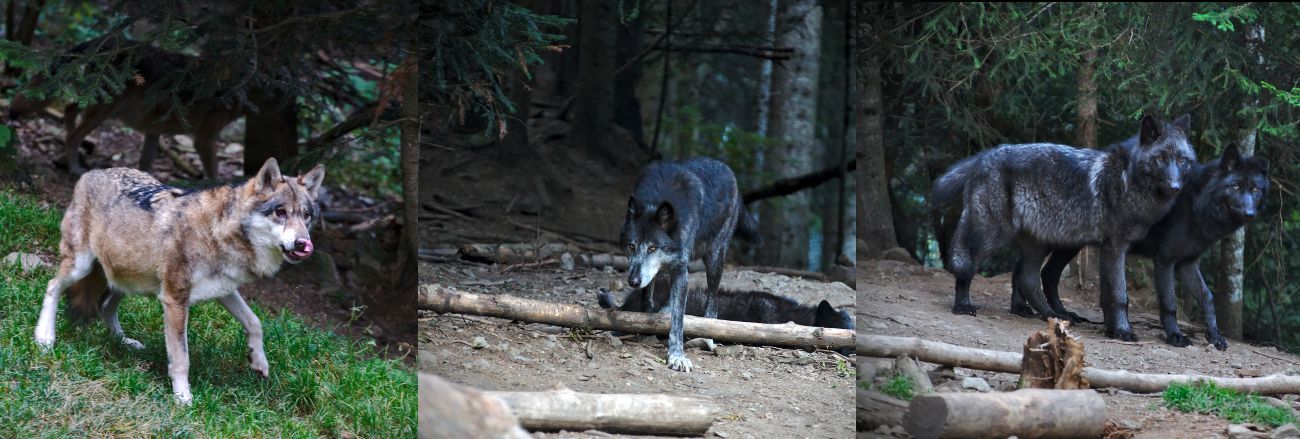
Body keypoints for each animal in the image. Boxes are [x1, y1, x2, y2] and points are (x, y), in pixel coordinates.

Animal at [35, 157, 325, 405]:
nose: (304, 244)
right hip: (82, 266)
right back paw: (45, 337)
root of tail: (92, 172)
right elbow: (181, 358)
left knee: (105, 306)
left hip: (129, 279)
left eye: (305, 216)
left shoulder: (225, 290)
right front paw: (183, 397)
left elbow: (255, 323)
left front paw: (259, 362)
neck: (217, 232)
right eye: (280, 212)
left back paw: (124, 342)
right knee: (52, 286)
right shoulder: (175, 300)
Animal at [618, 157, 759, 371]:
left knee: (712, 304)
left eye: (652, 248)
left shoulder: (679, 268)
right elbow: (647, 300)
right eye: (631, 246)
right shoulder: (658, 272)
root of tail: (725, 167)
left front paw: (677, 356)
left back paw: (707, 338)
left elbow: (678, 320)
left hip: (714, 259)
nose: (633, 281)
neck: (656, 198)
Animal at [930, 112, 1190, 340]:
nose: (1176, 187)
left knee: (1030, 278)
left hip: (1055, 244)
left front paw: (1112, 330)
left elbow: (1108, 296)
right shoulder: (1116, 247)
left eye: (1181, 160)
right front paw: (1124, 332)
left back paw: (1045, 313)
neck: (1127, 180)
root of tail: (982, 156)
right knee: (969, 264)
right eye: (1160, 159)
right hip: (991, 233)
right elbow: (1119, 296)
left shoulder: (1109, 248)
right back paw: (964, 305)